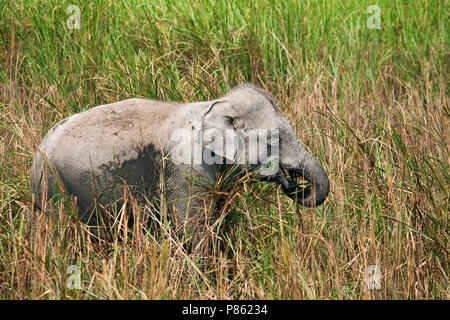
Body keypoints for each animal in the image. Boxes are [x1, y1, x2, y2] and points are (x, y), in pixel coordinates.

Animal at [29, 84, 328, 249]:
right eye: (274, 139)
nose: (294, 184)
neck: (214, 106)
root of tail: (38, 150)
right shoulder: (187, 171)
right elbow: (194, 230)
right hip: (54, 187)